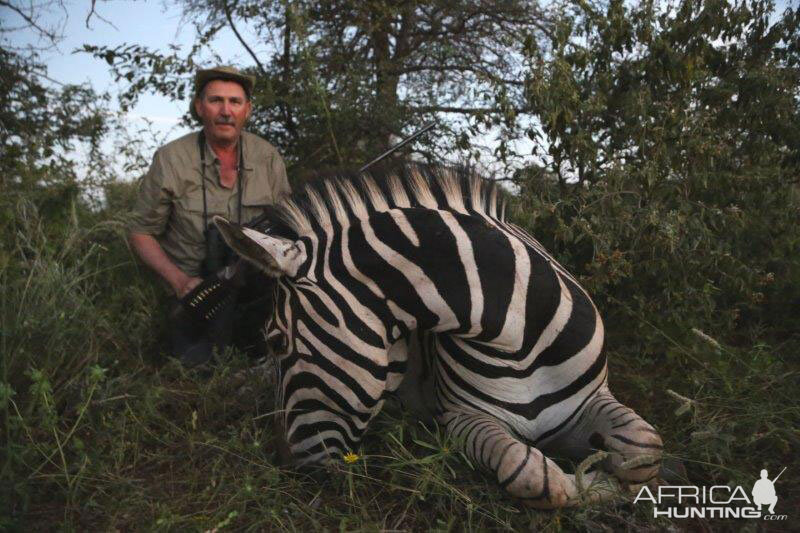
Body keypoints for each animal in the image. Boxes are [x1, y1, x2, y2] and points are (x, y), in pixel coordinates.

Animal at [212, 165, 664, 508]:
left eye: (277, 341)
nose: (288, 467)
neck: (519, 341)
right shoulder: (461, 418)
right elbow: (530, 473)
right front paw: (590, 483)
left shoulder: (592, 399)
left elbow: (645, 447)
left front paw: (607, 479)